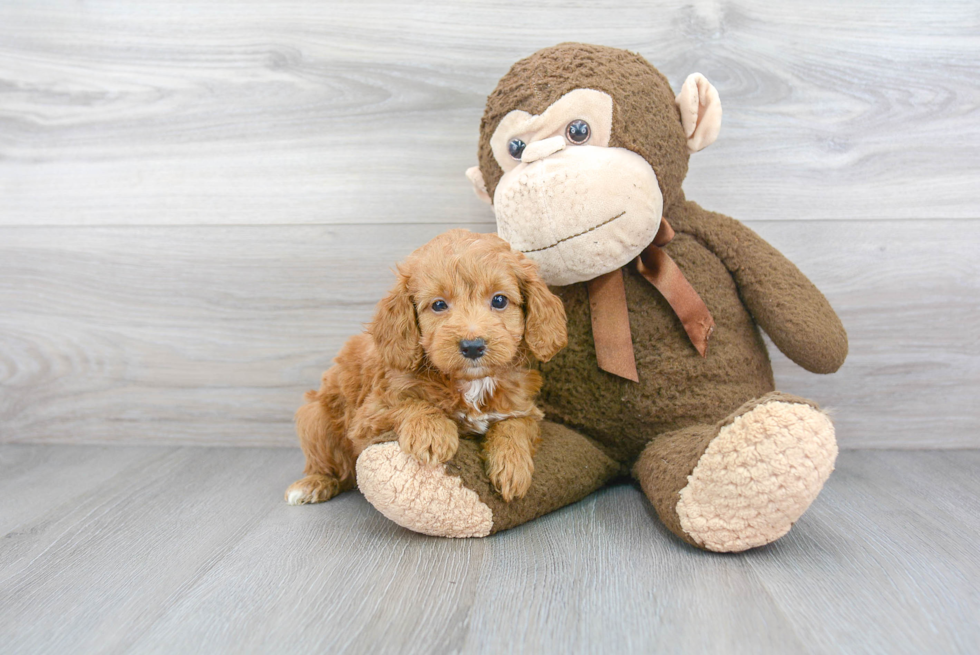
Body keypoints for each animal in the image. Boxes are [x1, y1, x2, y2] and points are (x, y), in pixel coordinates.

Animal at [286, 231, 568, 508]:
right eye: (439, 305)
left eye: (499, 300)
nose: (472, 346)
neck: (471, 383)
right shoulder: (369, 415)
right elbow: (411, 403)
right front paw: (432, 434)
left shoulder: (525, 409)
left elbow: (516, 425)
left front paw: (512, 465)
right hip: (315, 420)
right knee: (331, 465)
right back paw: (313, 484)